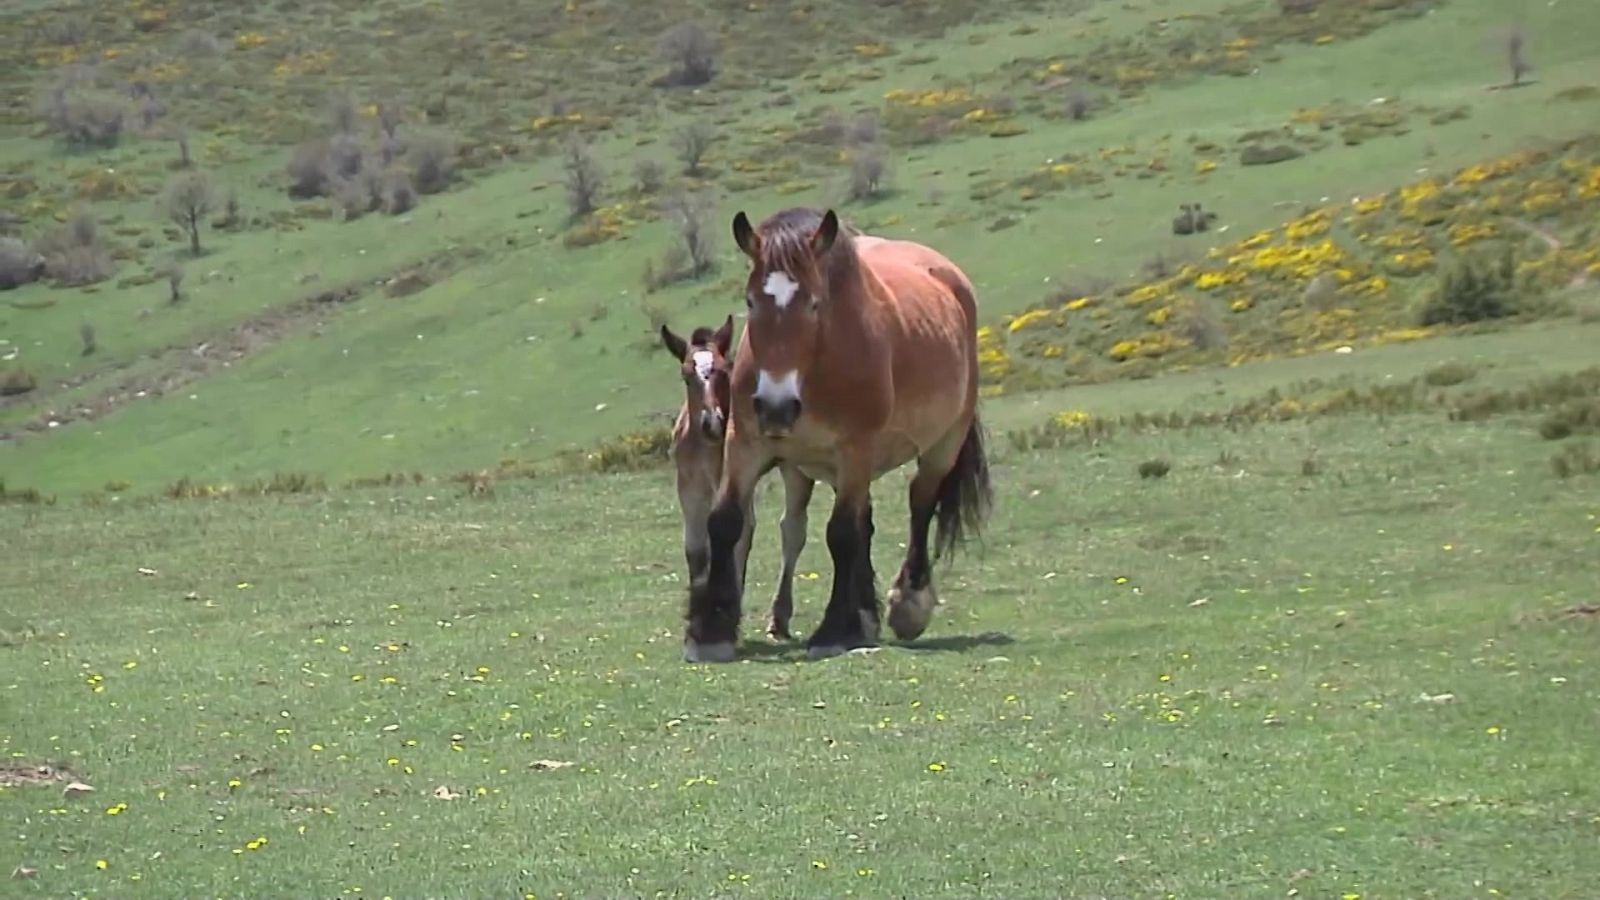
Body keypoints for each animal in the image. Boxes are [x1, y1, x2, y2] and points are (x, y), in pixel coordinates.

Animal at [656, 315, 819, 637]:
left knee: (792, 529)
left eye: (722, 371)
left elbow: (737, 535)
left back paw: (778, 617)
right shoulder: (688, 485)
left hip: (794, 468)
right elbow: (695, 547)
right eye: (686, 376)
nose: (712, 423)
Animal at [684, 208, 992, 659]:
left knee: (920, 504)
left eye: (815, 303)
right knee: (867, 522)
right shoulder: (745, 442)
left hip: (941, 444)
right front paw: (709, 631)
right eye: (750, 301)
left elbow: (842, 534)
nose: (776, 406)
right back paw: (866, 615)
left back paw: (908, 605)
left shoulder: (856, 448)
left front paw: (834, 630)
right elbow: (725, 521)